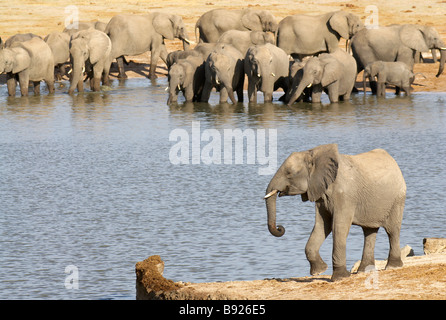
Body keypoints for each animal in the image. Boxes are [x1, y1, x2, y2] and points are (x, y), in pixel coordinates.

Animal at [264, 144, 408, 282]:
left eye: (289, 173)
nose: (280, 228)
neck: (314, 154)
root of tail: (394, 162)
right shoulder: (321, 195)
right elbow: (321, 225)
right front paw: (319, 271)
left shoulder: (345, 195)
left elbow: (338, 227)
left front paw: (339, 277)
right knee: (369, 232)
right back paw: (364, 271)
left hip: (397, 198)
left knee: (392, 230)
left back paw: (392, 266)